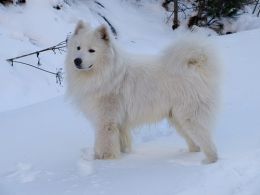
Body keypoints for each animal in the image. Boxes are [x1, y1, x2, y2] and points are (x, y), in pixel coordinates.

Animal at [65, 21, 219, 165]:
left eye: (91, 50)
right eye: (78, 48)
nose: (77, 60)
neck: (106, 73)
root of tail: (194, 66)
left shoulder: (106, 121)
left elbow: (105, 145)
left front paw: (105, 162)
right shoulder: (120, 124)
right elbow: (121, 144)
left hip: (190, 117)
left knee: (207, 142)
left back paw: (209, 162)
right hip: (177, 118)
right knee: (194, 143)